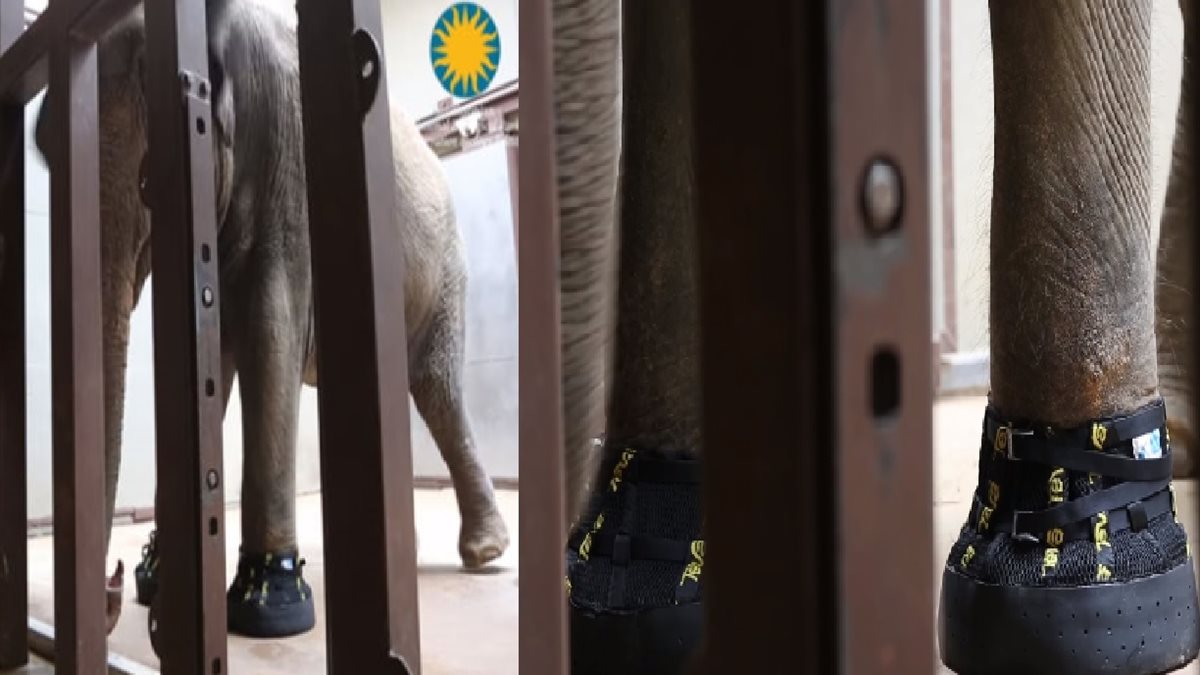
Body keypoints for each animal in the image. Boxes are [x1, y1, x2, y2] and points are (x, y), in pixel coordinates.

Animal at [31, 0, 511, 634]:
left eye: (150, 180)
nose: (112, 588)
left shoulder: (290, 150)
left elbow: (270, 320)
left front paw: (269, 606)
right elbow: (212, 343)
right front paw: (161, 580)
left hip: (447, 269)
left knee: (434, 387)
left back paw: (483, 554)